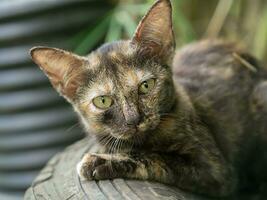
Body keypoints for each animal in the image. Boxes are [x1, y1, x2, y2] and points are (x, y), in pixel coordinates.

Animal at [29, 0, 267, 197]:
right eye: (103, 101)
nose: (133, 120)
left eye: (146, 86)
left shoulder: (214, 170)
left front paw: (100, 162)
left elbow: (157, 158)